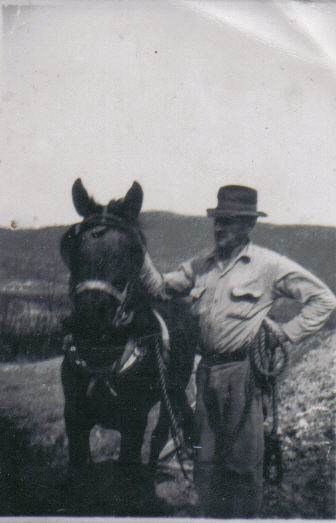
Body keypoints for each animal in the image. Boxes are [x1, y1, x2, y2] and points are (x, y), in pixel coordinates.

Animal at [59, 179, 193, 500]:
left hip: (173, 391)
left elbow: (127, 471)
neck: (102, 356)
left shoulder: (134, 422)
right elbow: (78, 469)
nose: (91, 323)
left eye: (134, 251)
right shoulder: (74, 416)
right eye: (72, 245)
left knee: (159, 436)